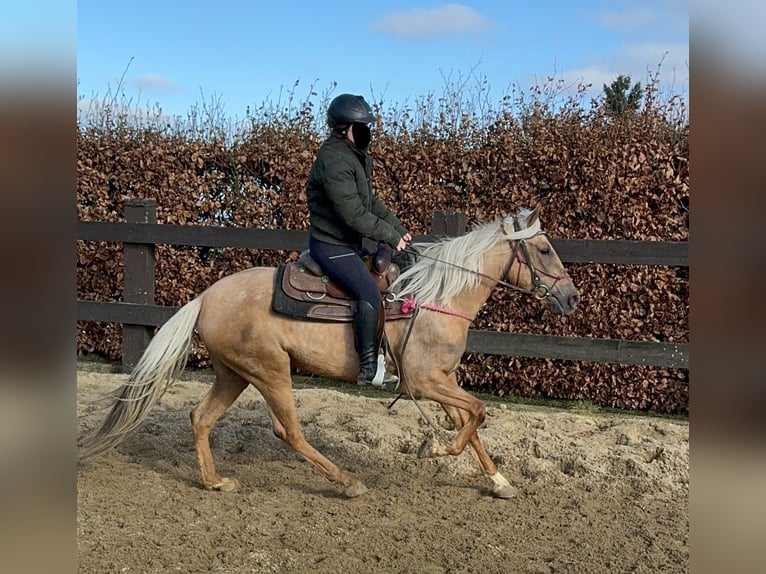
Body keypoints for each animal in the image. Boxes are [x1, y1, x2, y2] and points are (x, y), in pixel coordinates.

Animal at [79, 206, 584, 500]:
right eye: (543, 249)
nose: (573, 298)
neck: (435, 297)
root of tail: (205, 297)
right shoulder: (425, 381)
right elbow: (476, 414)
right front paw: (436, 448)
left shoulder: (444, 380)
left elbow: (472, 420)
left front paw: (498, 481)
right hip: (271, 372)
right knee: (289, 432)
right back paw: (347, 482)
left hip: (234, 374)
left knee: (202, 418)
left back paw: (214, 480)